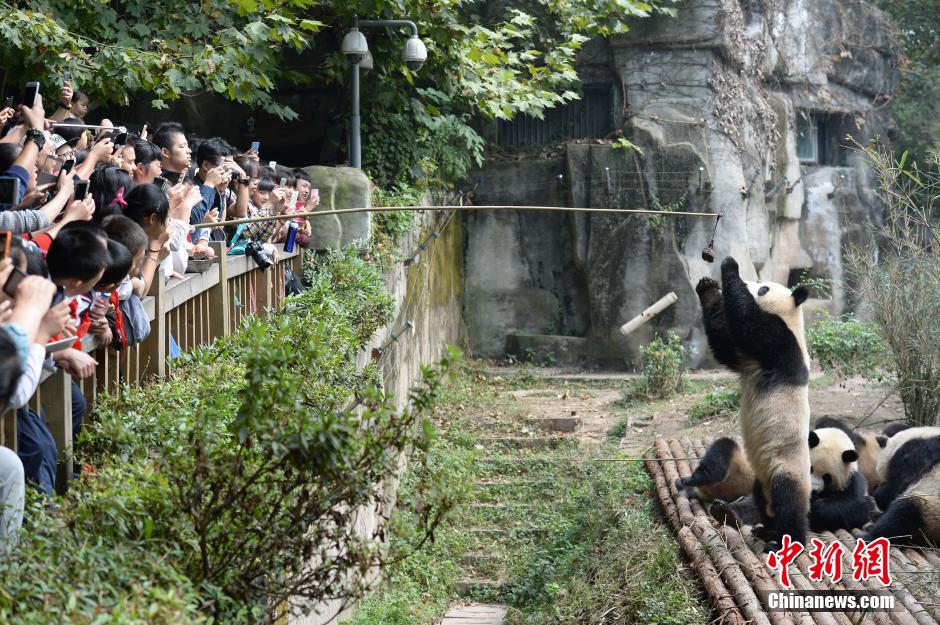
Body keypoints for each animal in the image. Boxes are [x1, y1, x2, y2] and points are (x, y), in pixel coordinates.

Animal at [696, 256, 811, 545]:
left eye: (763, 288)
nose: (751, 283)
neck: (792, 318)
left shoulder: (783, 344)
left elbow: (748, 322)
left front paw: (730, 266)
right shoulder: (745, 358)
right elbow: (724, 343)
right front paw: (707, 287)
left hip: (787, 465)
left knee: (788, 501)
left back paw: (788, 539)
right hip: (761, 477)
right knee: (762, 500)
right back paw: (765, 528)